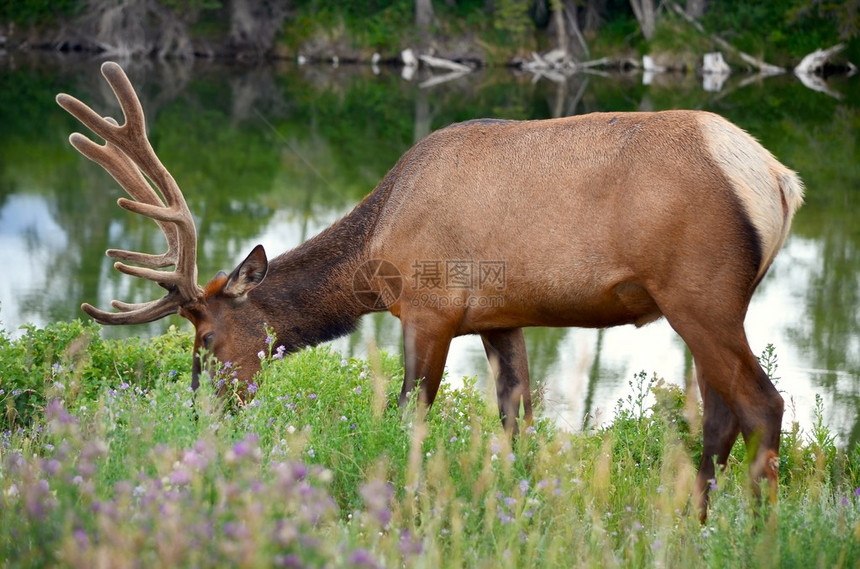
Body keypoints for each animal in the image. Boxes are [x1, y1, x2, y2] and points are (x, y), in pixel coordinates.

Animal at [57, 62, 804, 520]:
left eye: (207, 336)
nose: (200, 415)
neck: (374, 246)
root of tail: (779, 179)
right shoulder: (503, 318)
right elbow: (515, 420)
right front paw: (510, 509)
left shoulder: (429, 308)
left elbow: (408, 418)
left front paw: (400, 507)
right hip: (703, 307)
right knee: (720, 415)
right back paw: (691, 523)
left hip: (701, 294)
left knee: (763, 405)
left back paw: (756, 535)